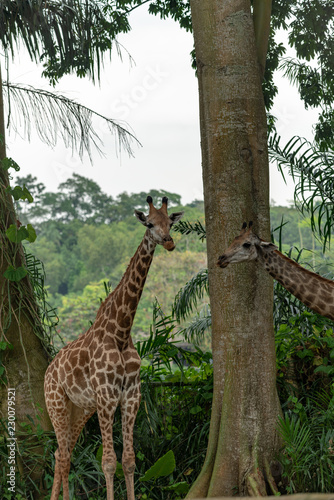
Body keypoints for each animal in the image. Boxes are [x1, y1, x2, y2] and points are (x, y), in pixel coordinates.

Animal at [43, 196, 184, 500]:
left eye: (170, 222)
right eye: (150, 223)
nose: (168, 242)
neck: (121, 332)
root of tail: (49, 370)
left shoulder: (131, 395)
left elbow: (128, 461)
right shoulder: (107, 396)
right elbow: (108, 462)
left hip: (80, 409)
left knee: (64, 452)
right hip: (56, 404)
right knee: (62, 454)